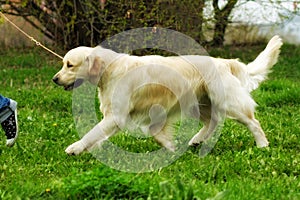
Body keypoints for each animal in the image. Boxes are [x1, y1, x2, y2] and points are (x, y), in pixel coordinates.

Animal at [52, 35, 282, 155]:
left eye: (69, 65)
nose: (55, 79)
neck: (110, 69)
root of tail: (224, 62)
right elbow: (154, 132)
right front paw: (170, 147)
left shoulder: (116, 115)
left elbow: (92, 132)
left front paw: (75, 147)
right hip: (199, 103)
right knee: (213, 121)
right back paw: (196, 140)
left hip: (227, 101)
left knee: (253, 122)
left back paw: (262, 145)